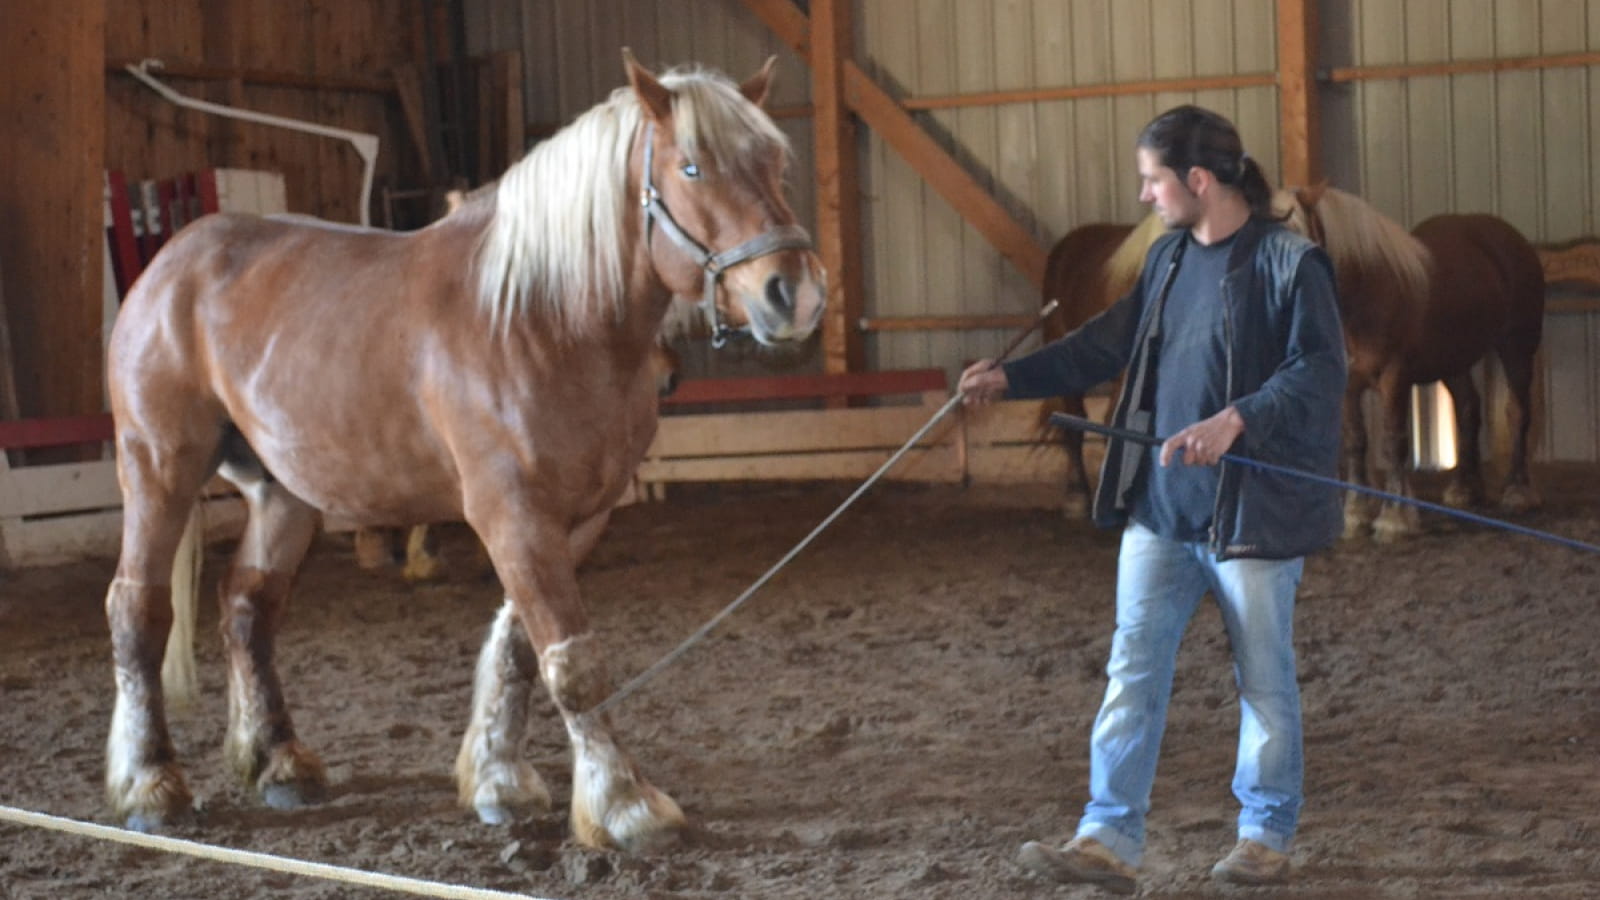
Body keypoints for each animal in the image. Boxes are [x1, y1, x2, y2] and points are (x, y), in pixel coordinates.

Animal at [101, 50, 825, 845]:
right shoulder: (512, 514)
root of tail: (170, 261)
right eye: (692, 167)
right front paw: (624, 803)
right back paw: (150, 785)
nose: (792, 294)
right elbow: (571, 660)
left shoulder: (579, 519)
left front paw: (499, 782)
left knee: (247, 606)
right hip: (159, 470)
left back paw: (280, 762)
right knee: (137, 608)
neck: (544, 319)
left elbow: (520, 649)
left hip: (282, 494)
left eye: (774, 162)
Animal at [1043, 185, 1542, 534]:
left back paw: (1517, 491)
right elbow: (1357, 441)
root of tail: (1506, 237)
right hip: (1455, 359)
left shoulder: (1393, 378)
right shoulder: (1349, 383)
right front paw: (1357, 512)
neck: (1369, 294)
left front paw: (1396, 518)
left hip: (1517, 345)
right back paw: (1464, 489)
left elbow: (1393, 441)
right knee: (1470, 409)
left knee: (1517, 413)